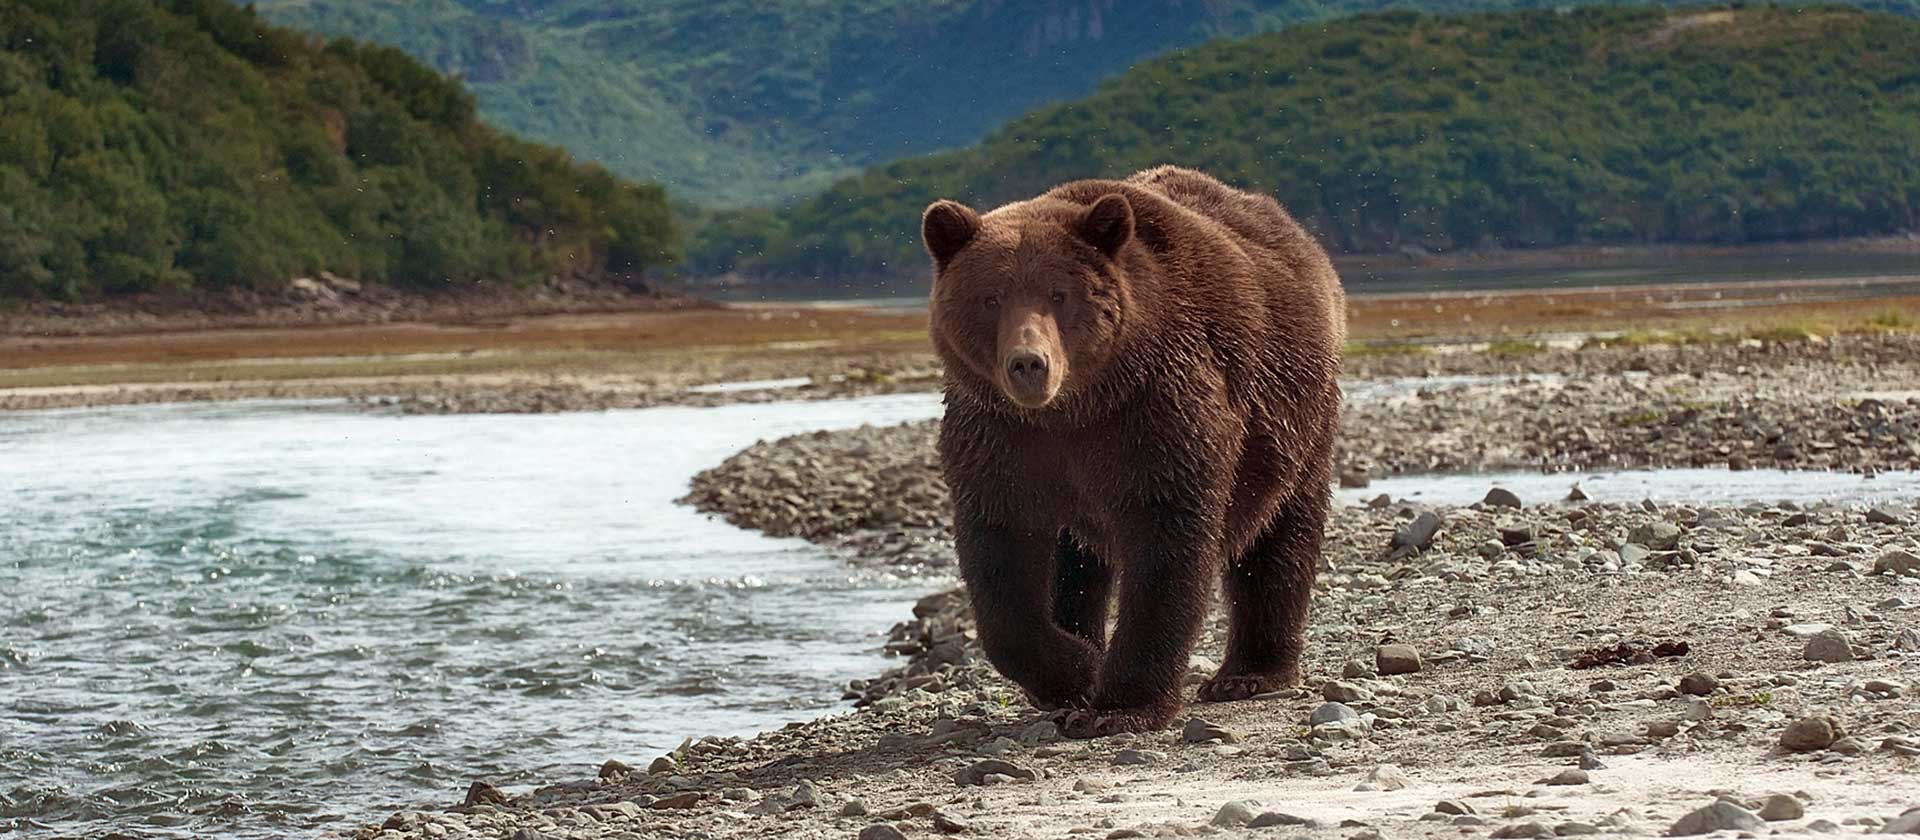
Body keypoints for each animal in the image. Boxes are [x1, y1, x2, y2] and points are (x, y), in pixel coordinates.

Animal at [917, 167, 1344, 736]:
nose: (1029, 363)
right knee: (1078, 562)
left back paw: (1249, 673)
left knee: (1281, 533)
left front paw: (1121, 705)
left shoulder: (1154, 413)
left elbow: (1166, 541)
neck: (1073, 409)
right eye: (991, 297)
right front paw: (1075, 671)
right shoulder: (1000, 437)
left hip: (1296, 419)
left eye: (1059, 294)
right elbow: (1000, 556)